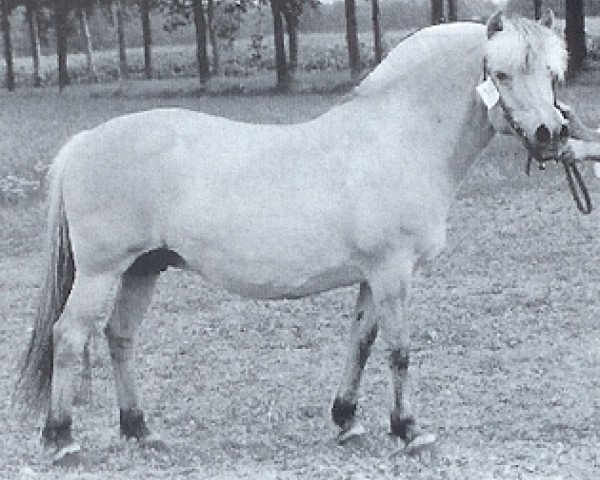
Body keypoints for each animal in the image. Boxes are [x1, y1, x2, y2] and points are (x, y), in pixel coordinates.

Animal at [14, 10, 568, 464]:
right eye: (501, 74)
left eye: (550, 72)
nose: (551, 134)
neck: (397, 138)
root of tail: (86, 140)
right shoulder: (392, 272)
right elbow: (399, 350)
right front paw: (410, 432)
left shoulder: (371, 276)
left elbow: (361, 343)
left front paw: (348, 422)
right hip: (101, 271)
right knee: (70, 336)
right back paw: (62, 440)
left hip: (143, 268)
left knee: (120, 336)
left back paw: (140, 431)